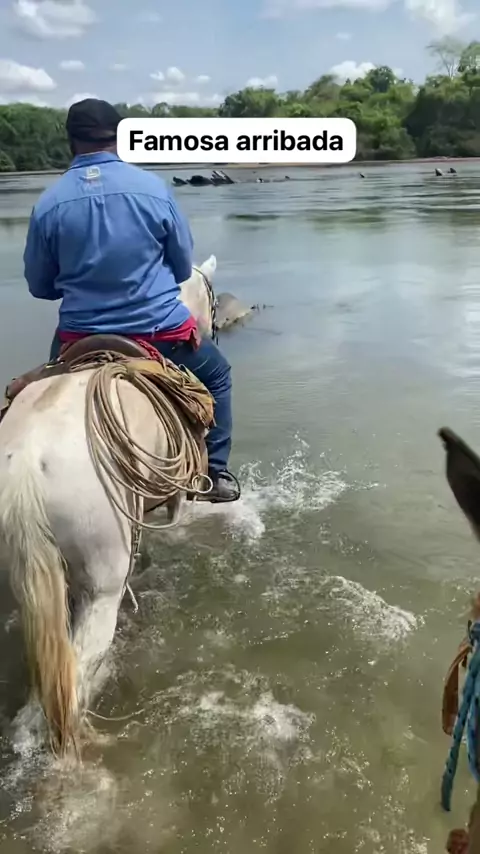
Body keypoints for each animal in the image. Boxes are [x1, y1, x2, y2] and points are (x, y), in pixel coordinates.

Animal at [0, 257, 222, 759]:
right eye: (213, 297)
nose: (214, 331)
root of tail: (26, 463)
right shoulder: (177, 497)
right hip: (102, 586)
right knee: (76, 678)